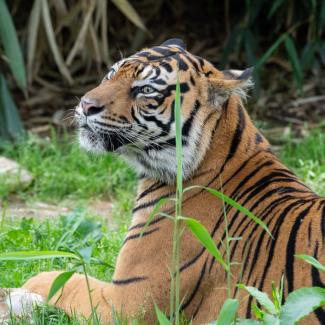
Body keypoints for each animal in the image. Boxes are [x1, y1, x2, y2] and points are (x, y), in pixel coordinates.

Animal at [0, 37, 322, 322]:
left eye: (144, 90)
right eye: (111, 74)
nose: (86, 105)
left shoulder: (126, 302)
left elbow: (66, 281)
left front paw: (19, 294)